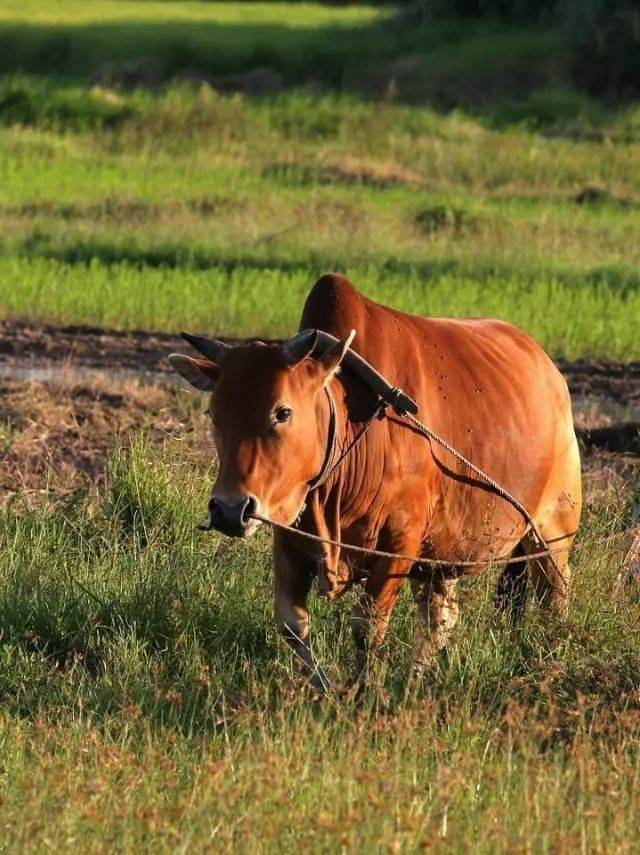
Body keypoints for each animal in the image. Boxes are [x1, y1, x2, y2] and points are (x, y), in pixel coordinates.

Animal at [169, 274, 580, 688]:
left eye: (283, 412)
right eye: (214, 413)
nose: (229, 509)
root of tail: (550, 370)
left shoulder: (399, 543)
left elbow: (367, 629)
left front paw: (360, 691)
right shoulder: (288, 533)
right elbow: (292, 625)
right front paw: (327, 689)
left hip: (552, 532)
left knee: (554, 597)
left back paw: (549, 663)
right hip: (442, 556)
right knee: (440, 618)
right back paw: (414, 680)